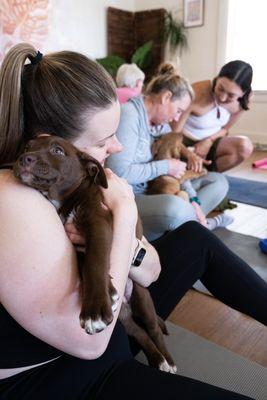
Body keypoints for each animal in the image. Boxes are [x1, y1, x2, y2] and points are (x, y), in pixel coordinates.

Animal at [14, 136, 178, 374]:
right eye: (27, 147)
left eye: (57, 151)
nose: (24, 158)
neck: (68, 199)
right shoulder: (75, 241)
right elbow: (86, 263)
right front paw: (108, 292)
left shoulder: (99, 222)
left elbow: (94, 261)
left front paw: (94, 310)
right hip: (124, 319)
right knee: (138, 332)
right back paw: (156, 358)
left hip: (142, 297)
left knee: (153, 328)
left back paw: (166, 361)